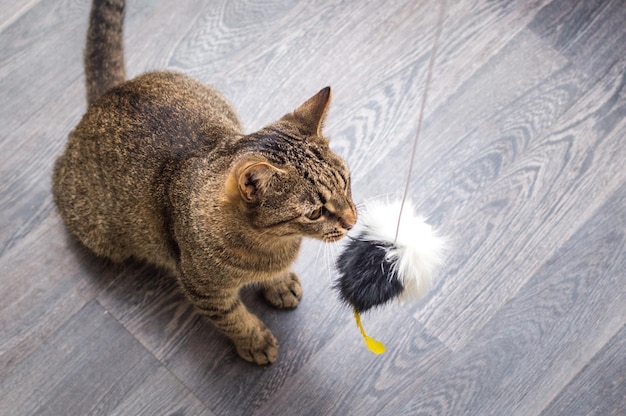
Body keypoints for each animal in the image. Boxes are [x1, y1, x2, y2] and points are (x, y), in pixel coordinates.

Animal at [52, 0, 356, 364]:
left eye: (347, 182)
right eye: (314, 213)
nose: (353, 220)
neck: (273, 244)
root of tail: (110, 93)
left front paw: (279, 283)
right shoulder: (202, 288)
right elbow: (233, 318)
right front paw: (255, 341)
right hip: (96, 230)